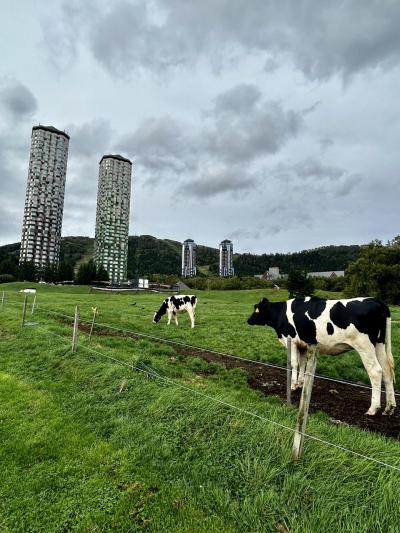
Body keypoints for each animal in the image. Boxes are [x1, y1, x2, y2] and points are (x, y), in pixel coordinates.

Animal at [247, 296, 396, 416]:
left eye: (256, 309)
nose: (248, 320)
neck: (281, 313)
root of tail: (376, 300)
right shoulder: (303, 344)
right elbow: (302, 364)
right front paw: (301, 383)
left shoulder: (292, 341)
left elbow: (294, 363)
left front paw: (293, 385)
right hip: (379, 344)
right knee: (387, 370)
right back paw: (389, 408)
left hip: (364, 346)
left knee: (375, 371)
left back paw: (373, 409)